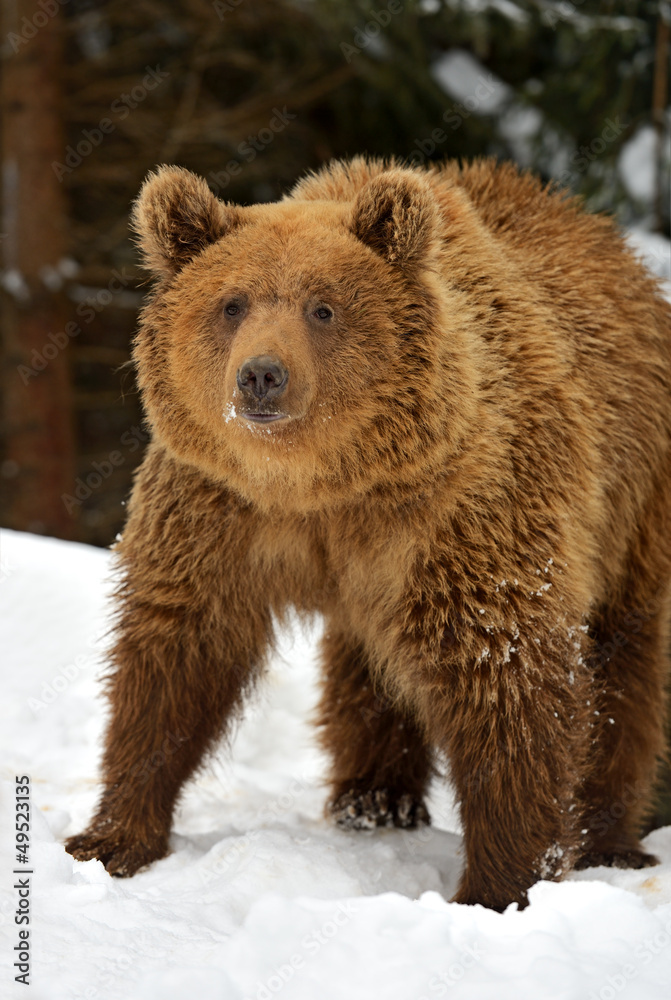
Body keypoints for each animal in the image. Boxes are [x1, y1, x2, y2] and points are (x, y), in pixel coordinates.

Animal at [65, 155, 671, 911]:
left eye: (322, 307)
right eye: (232, 303)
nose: (261, 376)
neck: (325, 484)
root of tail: (607, 238)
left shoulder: (463, 513)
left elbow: (506, 677)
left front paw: (499, 886)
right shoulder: (219, 510)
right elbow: (174, 656)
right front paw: (111, 838)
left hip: (633, 506)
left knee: (624, 668)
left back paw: (609, 839)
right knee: (365, 671)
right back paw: (372, 800)